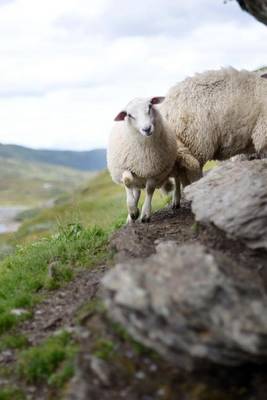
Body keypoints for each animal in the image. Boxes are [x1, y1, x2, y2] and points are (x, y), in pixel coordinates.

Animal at [107, 95, 182, 223]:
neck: (144, 151)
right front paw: (133, 211)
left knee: (177, 178)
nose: (147, 129)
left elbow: (149, 189)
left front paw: (145, 213)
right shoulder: (123, 167)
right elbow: (127, 181)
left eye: (150, 106)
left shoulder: (154, 171)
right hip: (137, 176)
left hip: (173, 163)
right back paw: (131, 216)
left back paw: (176, 200)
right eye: (129, 115)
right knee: (135, 189)